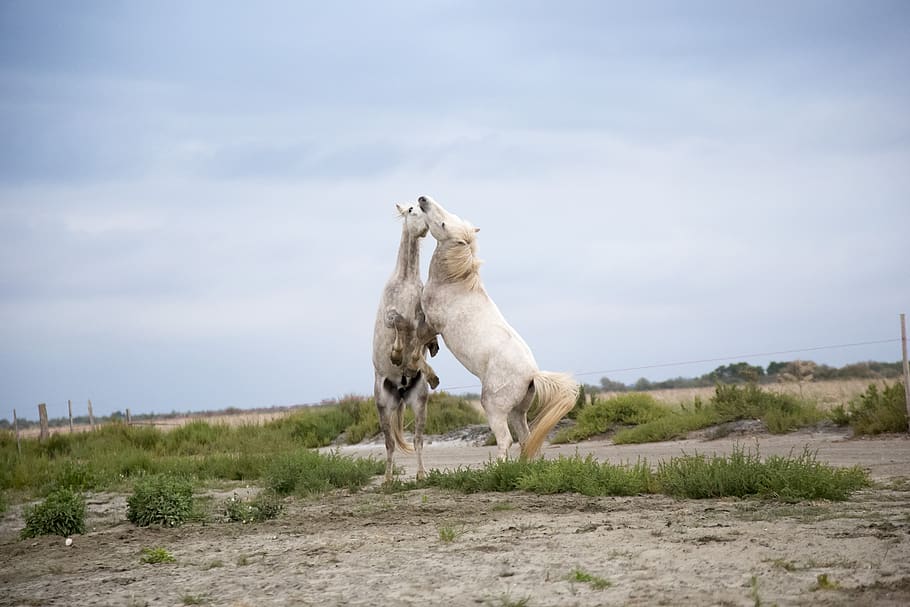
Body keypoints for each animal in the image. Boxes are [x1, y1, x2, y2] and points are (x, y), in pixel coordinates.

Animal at [416, 195, 578, 459]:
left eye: (443, 224)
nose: (422, 199)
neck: (454, 283)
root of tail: (532, 374)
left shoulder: (431, 321)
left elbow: (415, 333)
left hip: (494, 406)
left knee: (505, 439)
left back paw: (497, 467)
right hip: (518, 411)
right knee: (526, 437)